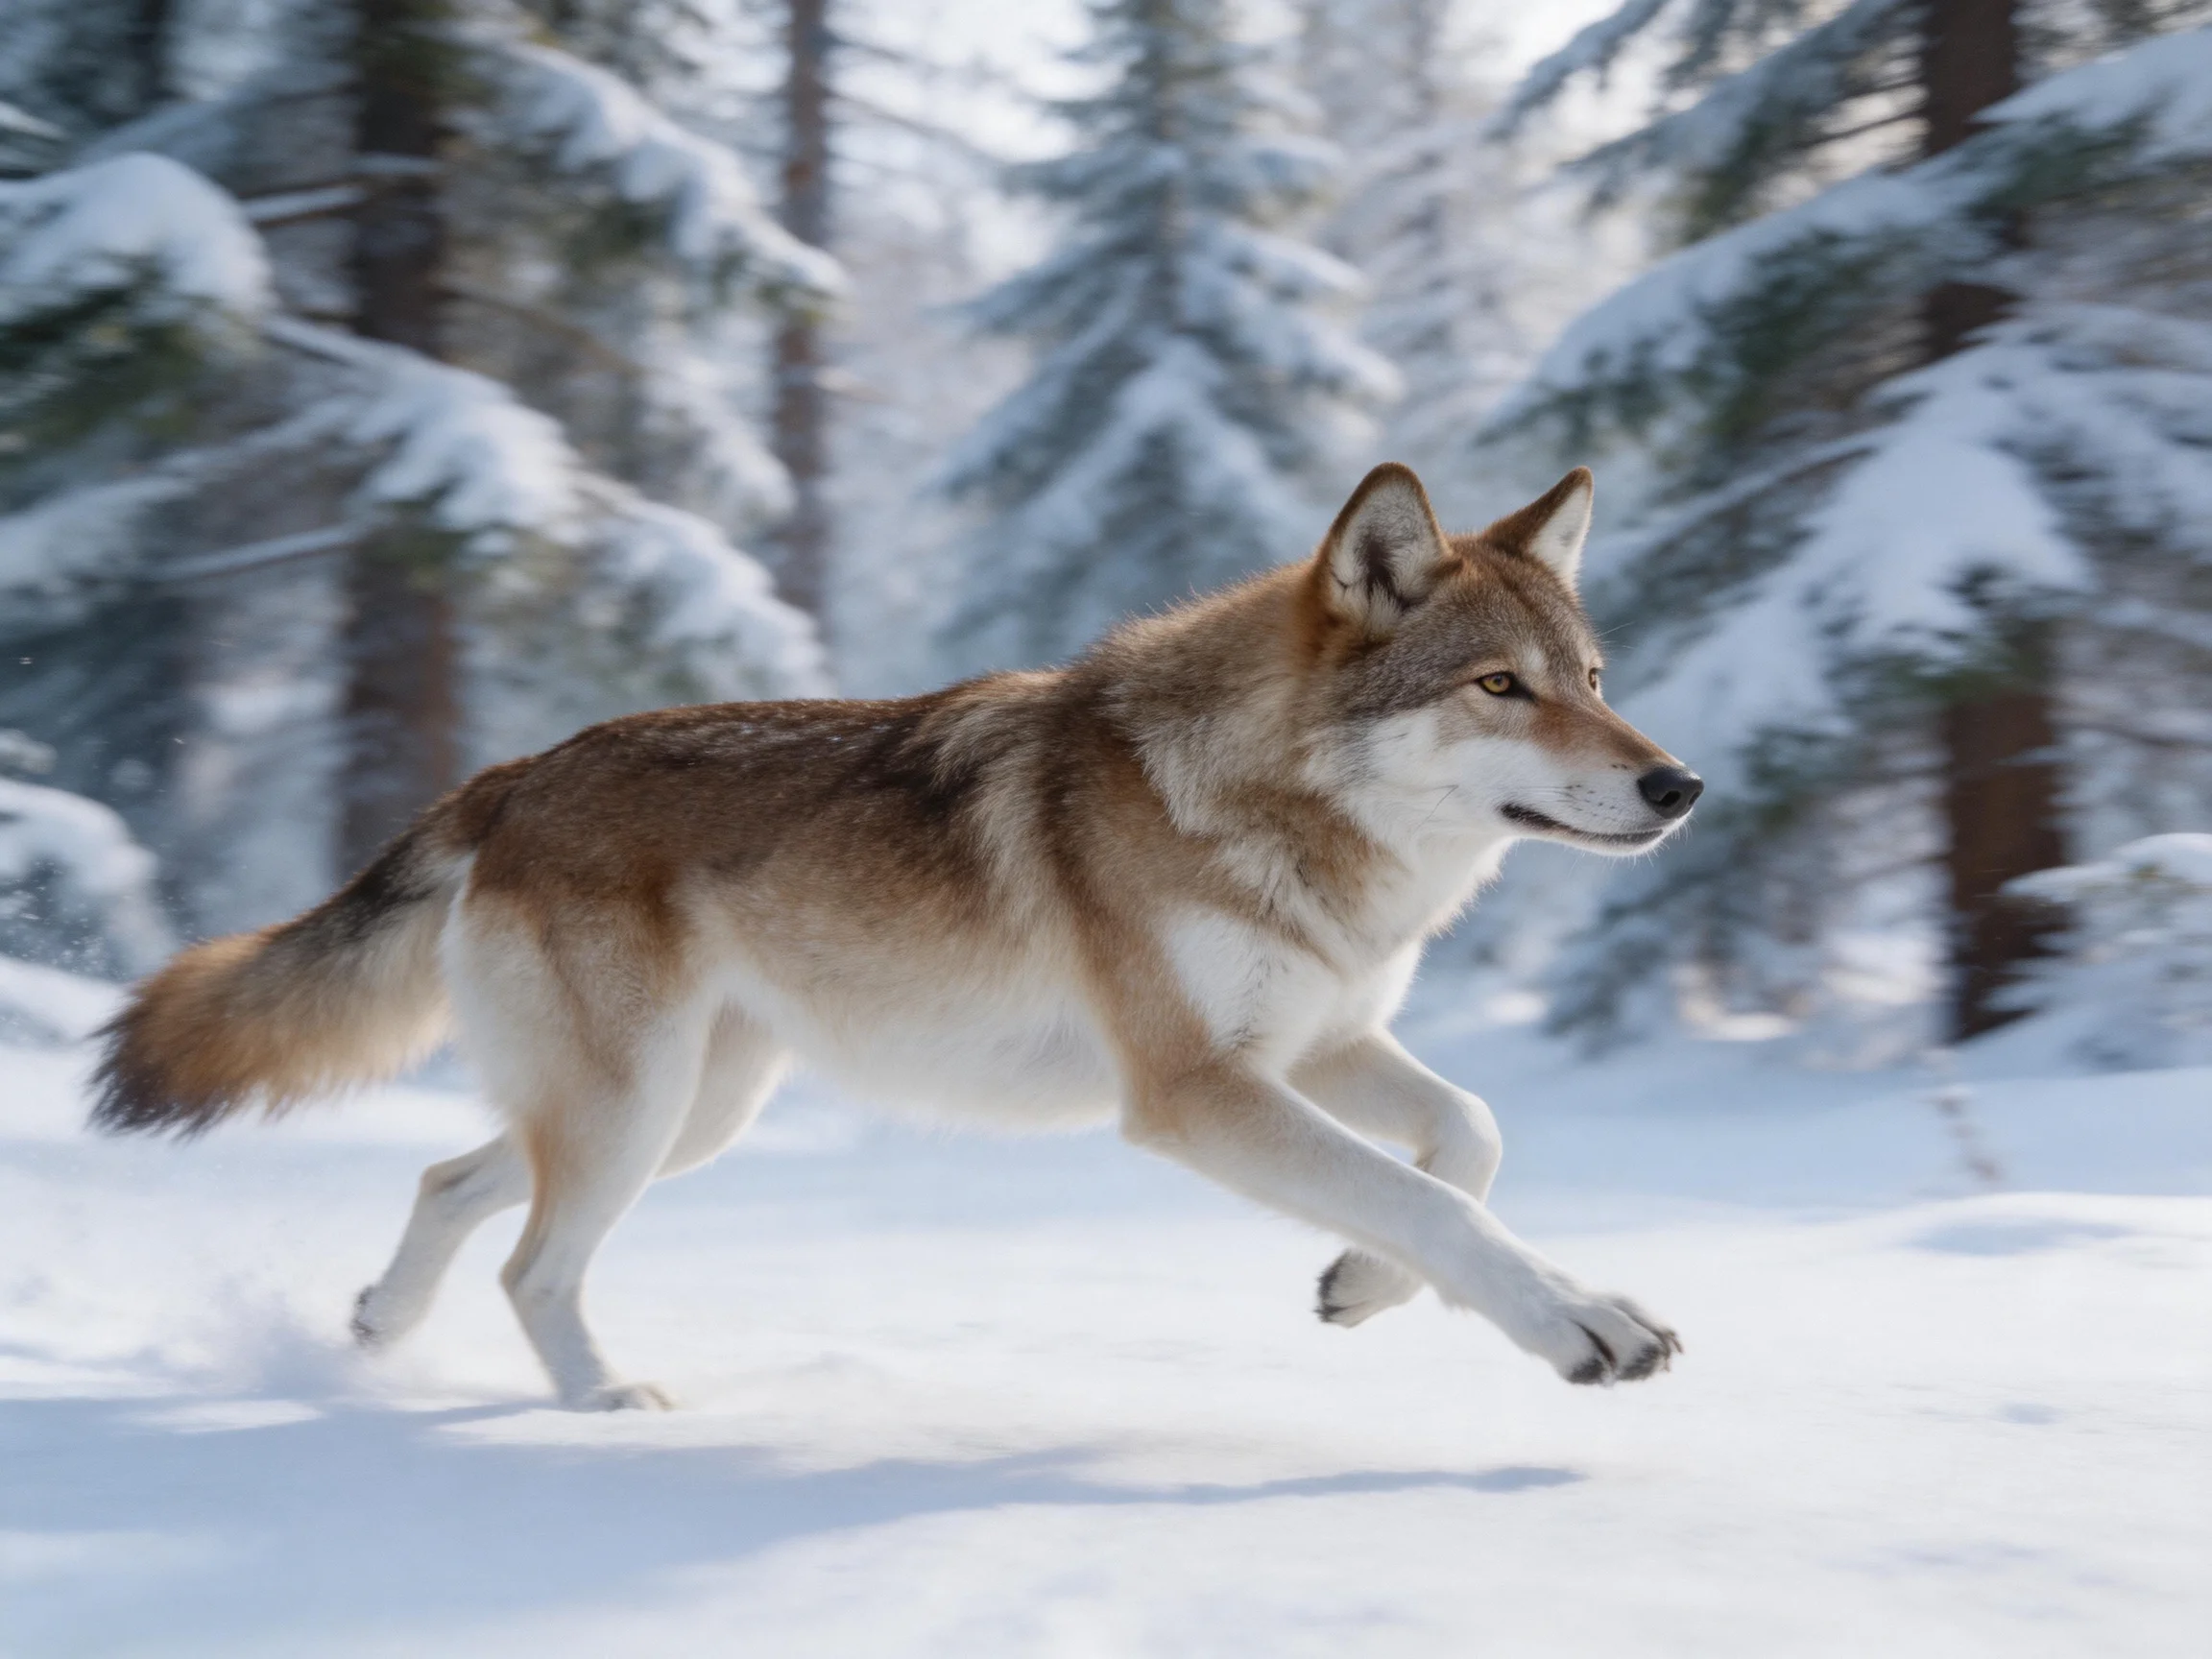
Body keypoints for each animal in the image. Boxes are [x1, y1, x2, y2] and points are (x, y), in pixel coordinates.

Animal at [94, 463, 1701, 1410]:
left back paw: (377, 1333)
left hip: (684, 1117)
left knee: (448, 1181)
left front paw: (1363, 1286)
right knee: (530, 1263)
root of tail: (512, 774)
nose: (1678, 786)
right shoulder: (1198, 1093)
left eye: (1595, 677)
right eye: (1500, 686)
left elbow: (1468, 1140)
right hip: (638, 1119)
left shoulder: (1328, 1040)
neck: (1269, 805)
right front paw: (1585, 1325)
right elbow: (1434, 1197)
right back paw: (604, 1408)